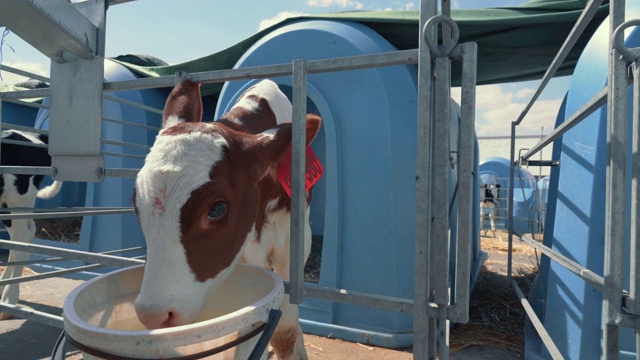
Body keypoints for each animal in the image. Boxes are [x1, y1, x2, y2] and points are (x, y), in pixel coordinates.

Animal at [133, 79, 320, 360]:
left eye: (216, 209)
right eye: (135, 202)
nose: (153, 314)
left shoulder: (296, 238)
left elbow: (286, 328)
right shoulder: (244, 250)